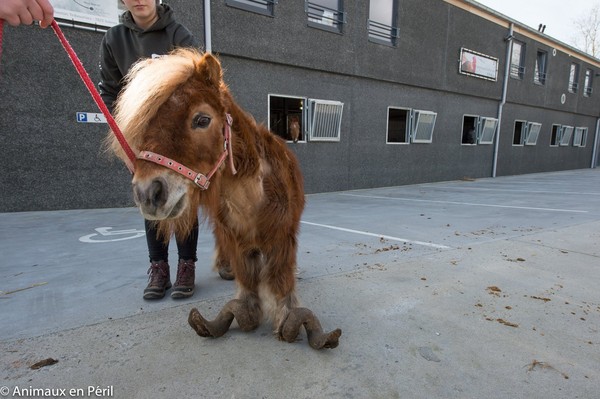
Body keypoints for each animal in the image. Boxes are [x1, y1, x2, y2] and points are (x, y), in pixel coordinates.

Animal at [108, 49, 342, 350]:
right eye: (147, 123)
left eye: (202, 120)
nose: (148, 193)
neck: (253, 199)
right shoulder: (237, 240)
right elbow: (246, 289)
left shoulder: (281, 239)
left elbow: (281, 281)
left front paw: (285, 318)